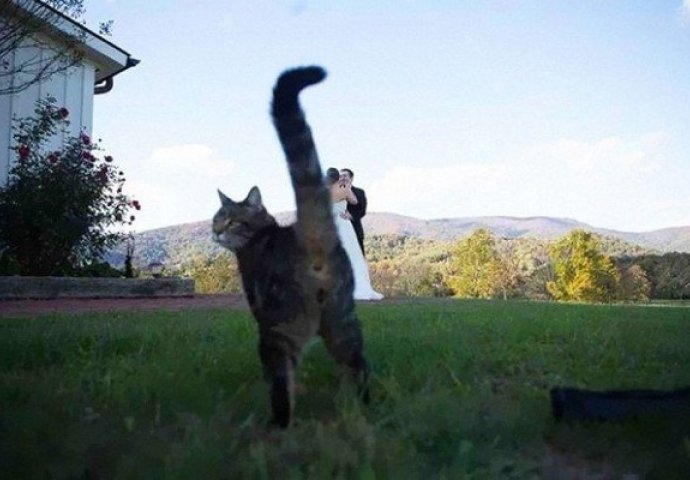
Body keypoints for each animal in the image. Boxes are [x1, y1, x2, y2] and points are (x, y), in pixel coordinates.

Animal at [212, 66, 369, 428]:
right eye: (216, 219)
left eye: (230, 221)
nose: (215, 233)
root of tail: (309, 236)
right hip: (342, 320)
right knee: (359, 365)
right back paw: (363, 409)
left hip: (277, 330)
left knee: (282, 384)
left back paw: (277, 425)